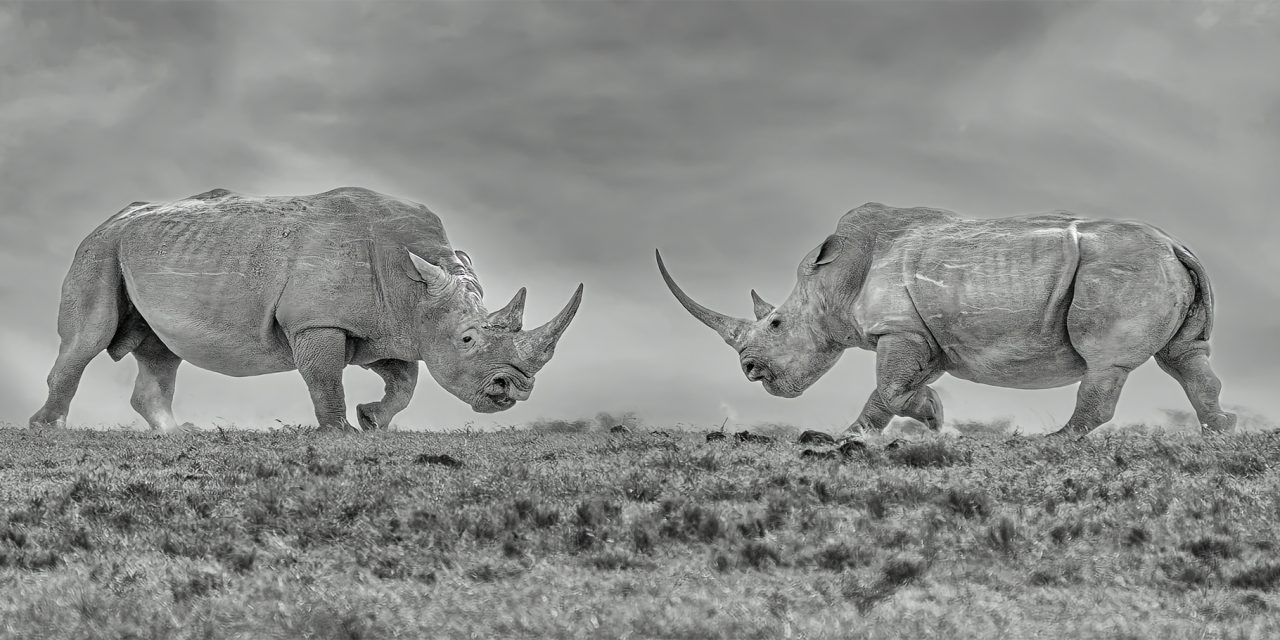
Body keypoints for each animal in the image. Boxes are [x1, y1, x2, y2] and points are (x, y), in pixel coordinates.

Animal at [29, 187, 583, 432]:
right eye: (468, 339)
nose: (515, 389)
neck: (413, 285)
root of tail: (114, 216)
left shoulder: (390, 327)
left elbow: (405, 381)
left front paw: (372, 421)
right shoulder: (318, 321)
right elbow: (324, 376)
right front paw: (340, 432)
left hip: (150, 248)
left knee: (162, 350)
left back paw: (176, 434)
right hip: (100, 248)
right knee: (88, 338)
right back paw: (50, 429)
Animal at [657, 202, 1235, 438]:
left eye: (775, 324)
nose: (750, 370)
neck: (831, 282)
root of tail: (1177, 245)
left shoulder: (899, 329)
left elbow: (890, 390)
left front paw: (928, 419)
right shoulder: (927, 336)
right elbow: (888, 395)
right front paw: (852, 435)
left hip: (1121, 269)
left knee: (1105, 362)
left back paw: (1047, 442)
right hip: (1154, 267)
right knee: (1184, 358)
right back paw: (1220, 432)